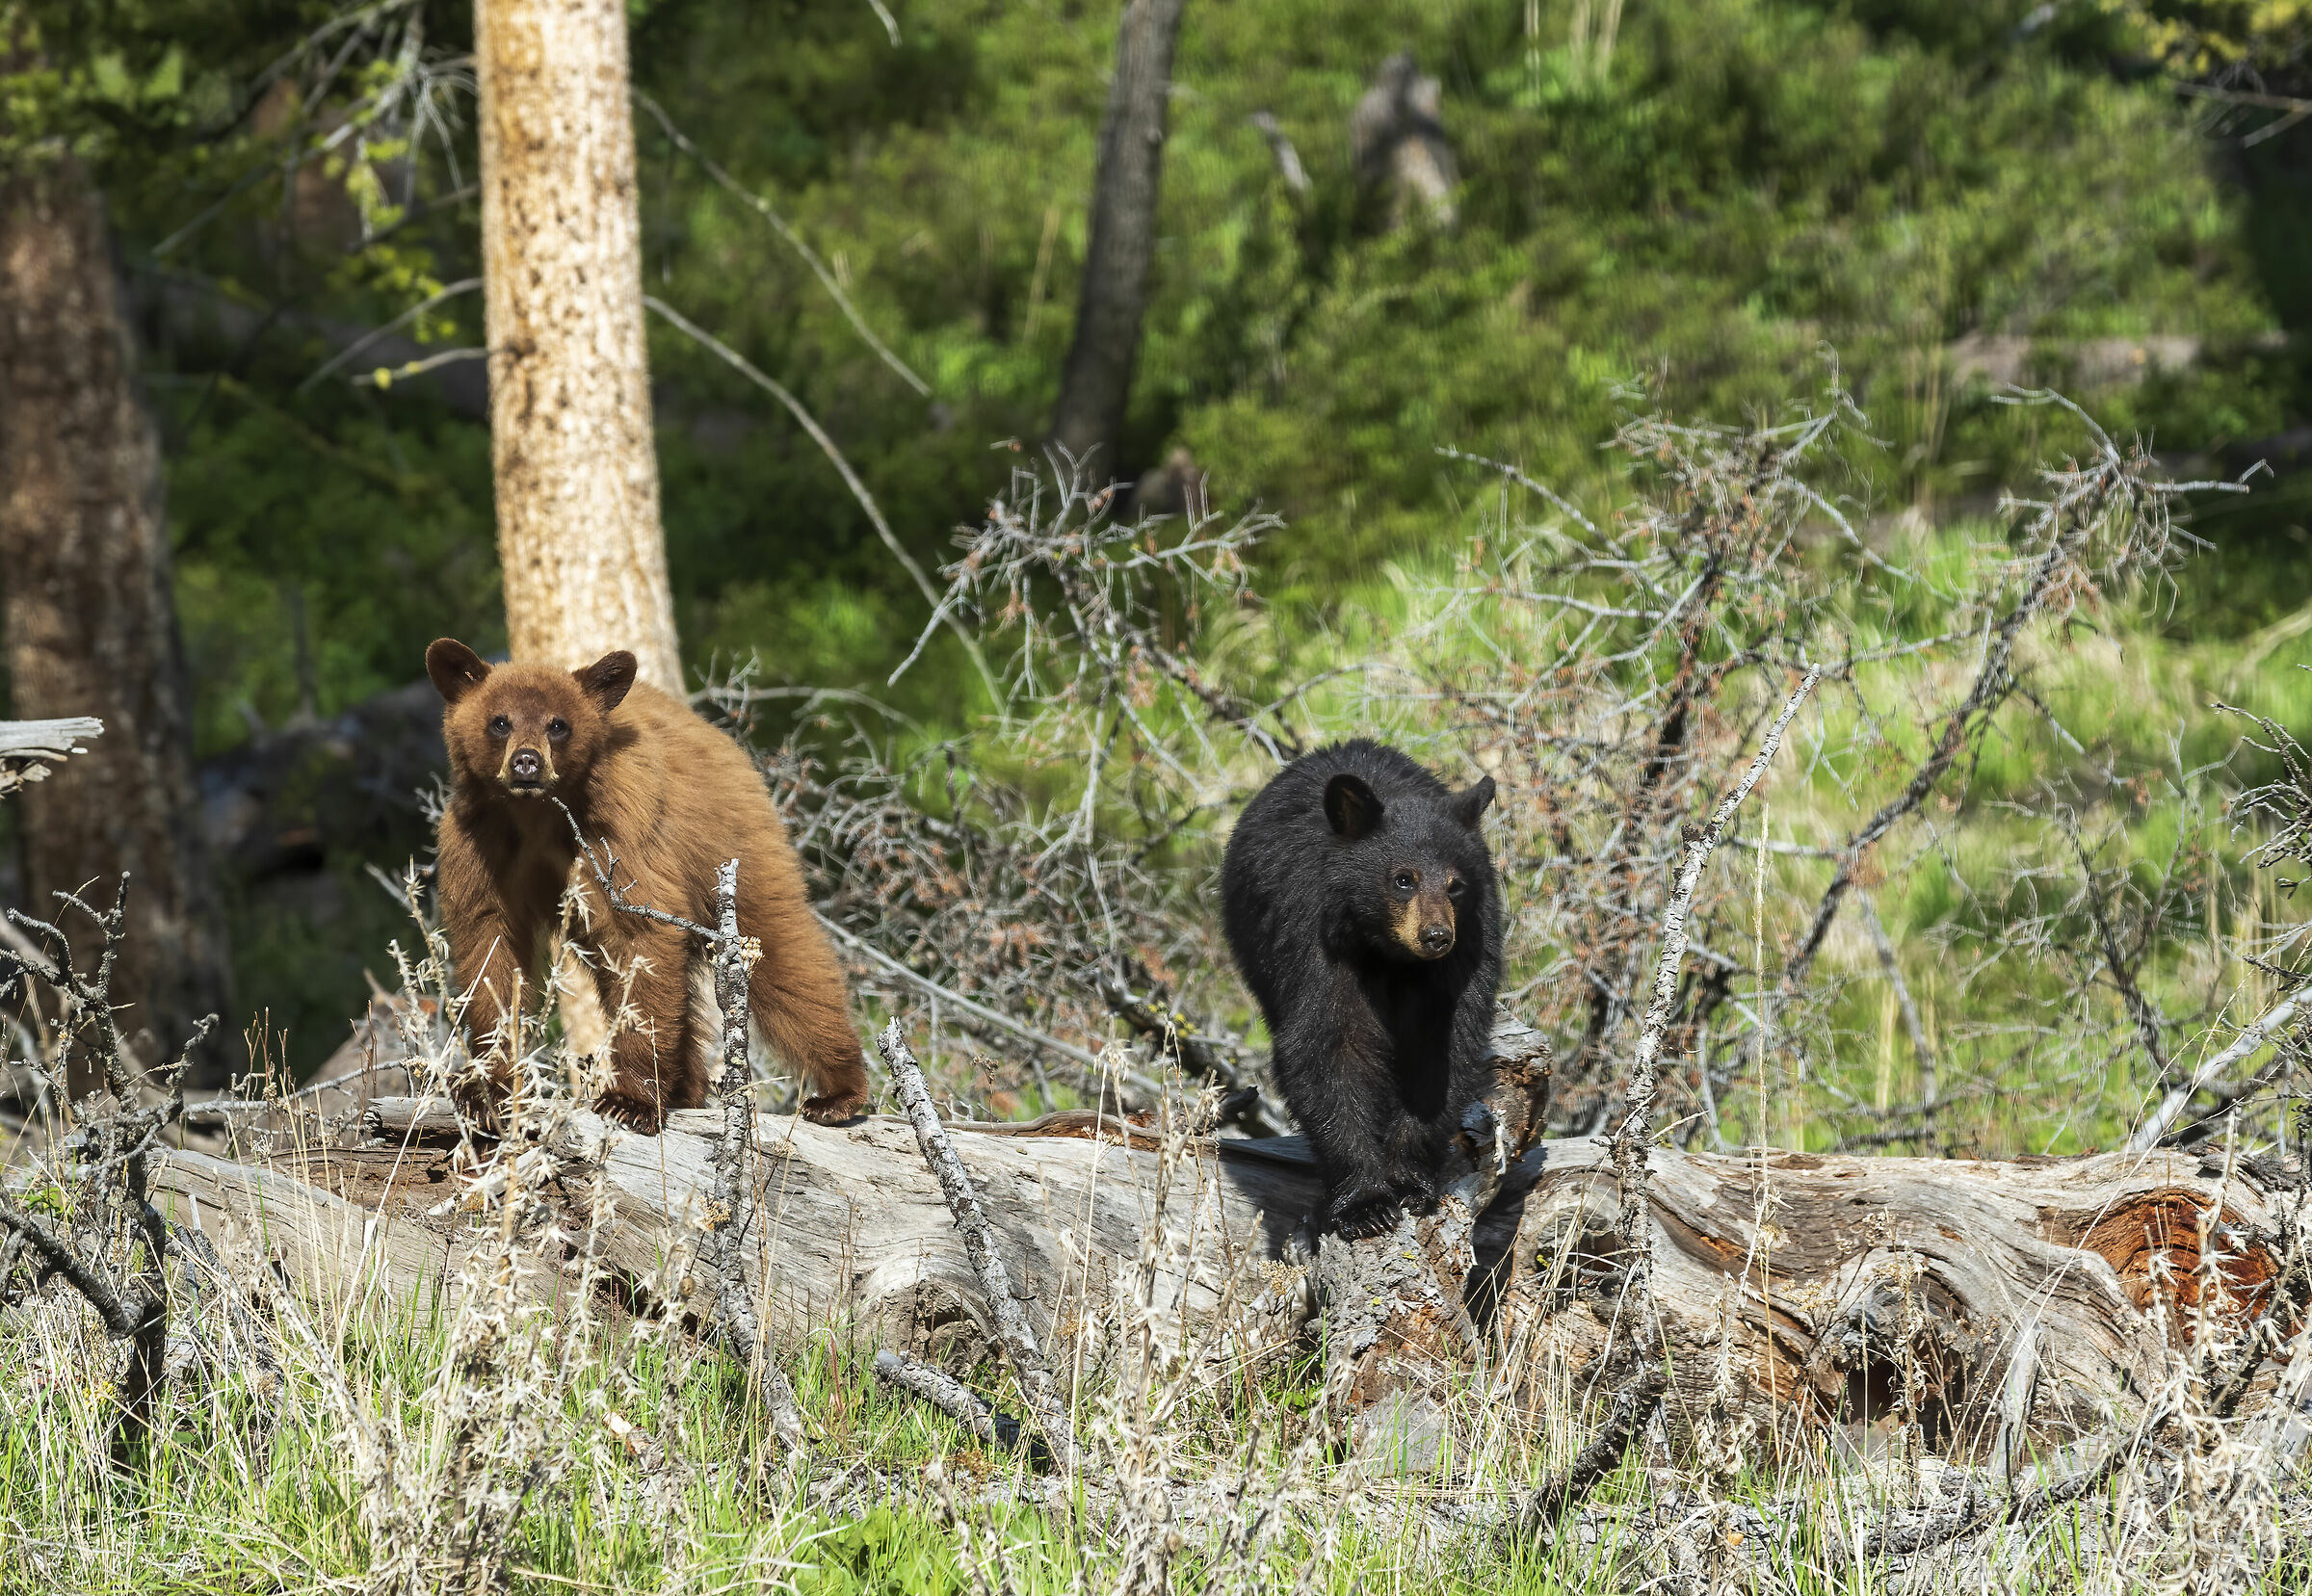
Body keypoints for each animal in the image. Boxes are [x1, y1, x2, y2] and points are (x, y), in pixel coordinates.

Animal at [424, 638, 871, 1130]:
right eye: (499, 722)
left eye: (558, 725)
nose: (527, 763)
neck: (536, 813)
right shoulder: (478, 841)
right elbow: (490, 948)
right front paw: (486, 1088)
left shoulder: (619, 833)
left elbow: (641, 938)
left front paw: (629, 1100)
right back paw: (685, 1089)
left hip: (732, 852)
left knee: (786, 957)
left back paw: (838, 1093)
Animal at [1220, 739, 1500, 1237]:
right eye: (1403, 879)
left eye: (1455, 885)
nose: (1435, 937)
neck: (1385, 950)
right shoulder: (1315, 944)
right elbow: (1328, 1046)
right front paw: (1364, 1204)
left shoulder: (1463, 953)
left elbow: (1439, 1050)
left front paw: (1409, 1182)